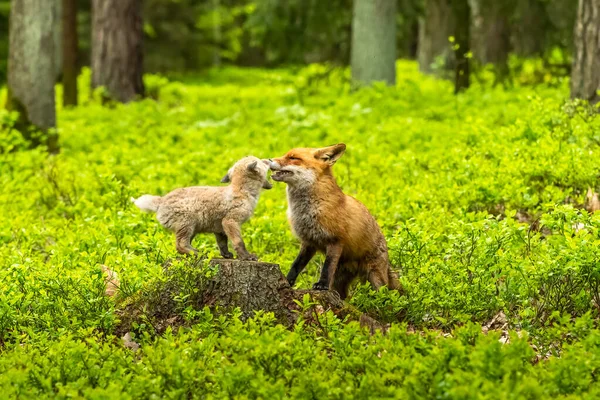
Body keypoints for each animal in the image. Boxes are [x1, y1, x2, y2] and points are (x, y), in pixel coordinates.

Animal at [268, 143, 398, 296]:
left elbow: (327, 267)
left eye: (293, 158)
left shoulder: (335, 240)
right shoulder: (308, 242)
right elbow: (296, 265)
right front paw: (287, 282)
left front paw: (322, 285)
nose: (268, 160)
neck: (308, 210)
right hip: (340, 282)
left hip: (376, 279)